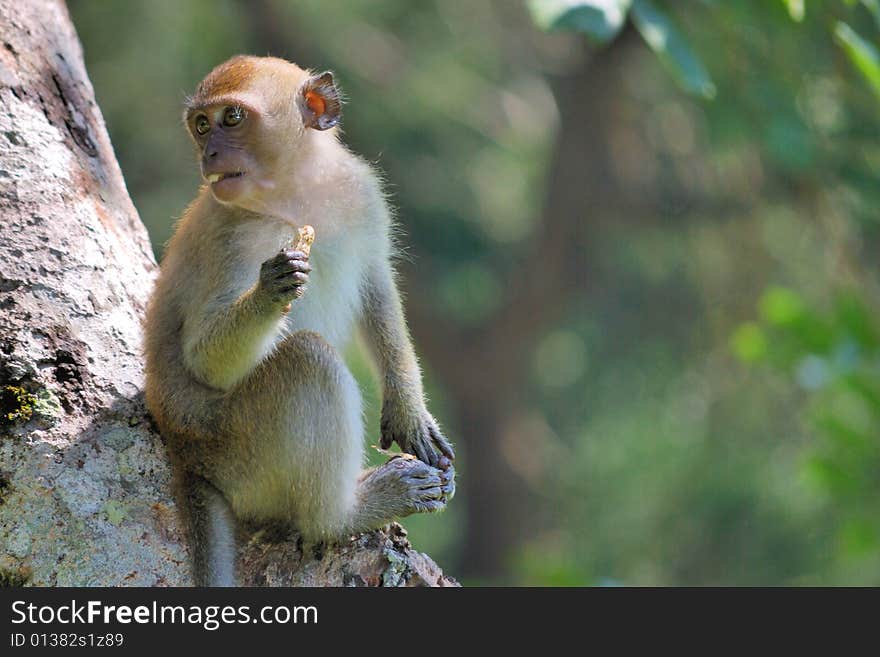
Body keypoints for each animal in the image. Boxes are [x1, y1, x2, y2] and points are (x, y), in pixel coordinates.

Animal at [144, 56, 454, 588]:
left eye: (230, 118)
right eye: (202, 124)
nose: (209, 152)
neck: (296, 192)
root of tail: (186, 454)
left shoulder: (362, 192)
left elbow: (376, 284)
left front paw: (410, 412)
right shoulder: (239, 237)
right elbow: (203, 362)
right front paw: (270, 290)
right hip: (235, 446)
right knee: (309, 360)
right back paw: (345, 514)